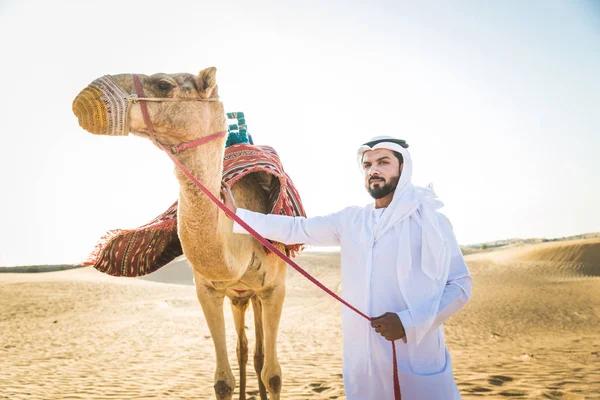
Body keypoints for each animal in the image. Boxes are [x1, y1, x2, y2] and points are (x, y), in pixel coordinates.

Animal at [73, 67, 290, 398]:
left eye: (164, 84)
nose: (86, 97)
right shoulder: (207, 291)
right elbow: (222, 380)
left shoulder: (275, 288)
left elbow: (274, 376)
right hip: (239, 297)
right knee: (244, 350)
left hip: (256, 294)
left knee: (259, 354)